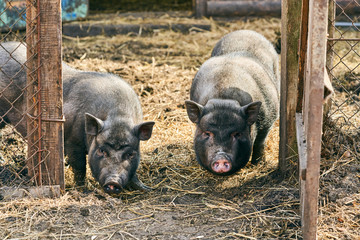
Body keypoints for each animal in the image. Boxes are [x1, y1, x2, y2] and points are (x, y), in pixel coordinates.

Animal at [0, 41, 153, 195]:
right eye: (102, 150)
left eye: (130, 154)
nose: (113, 182)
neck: (119, 116)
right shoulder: (72, 141)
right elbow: (80, 166)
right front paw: (83, 188)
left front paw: (147, 188)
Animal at [186, 30, 282, 175]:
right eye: (207, 133)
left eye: (237, 134)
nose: (221, 158)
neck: (223, 98)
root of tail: (245, 31)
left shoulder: (269, 118)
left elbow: (260, 142)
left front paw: (258, 164)